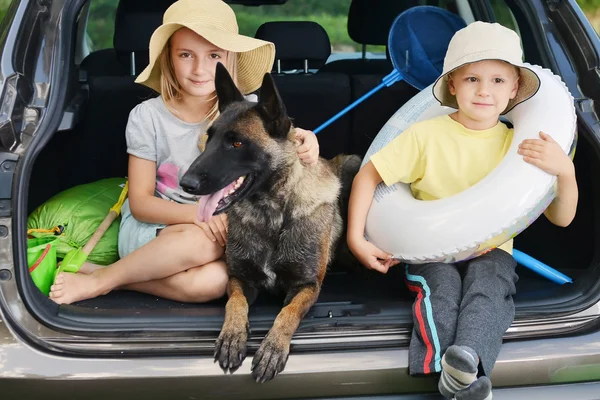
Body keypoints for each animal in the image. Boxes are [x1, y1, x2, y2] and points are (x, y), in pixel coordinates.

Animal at [180, 64, 358, 382]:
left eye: (237, 143)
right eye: (209, 138)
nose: (185, 183)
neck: (272, 214)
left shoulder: (306, 286)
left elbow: (288, 314)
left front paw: (273, 348)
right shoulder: (239, 279)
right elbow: (234, 303)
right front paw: (232, 336)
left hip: (352, 162)